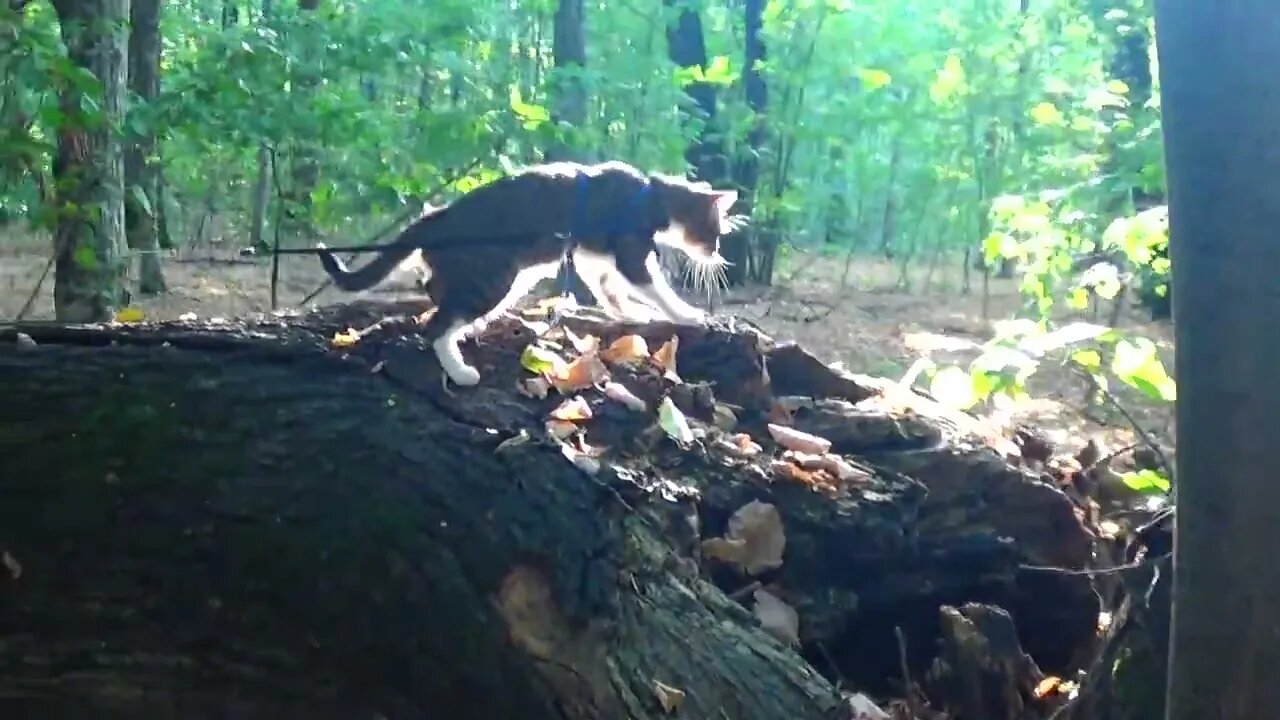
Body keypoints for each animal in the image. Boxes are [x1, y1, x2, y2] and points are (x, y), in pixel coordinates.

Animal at [313, 159, 747, 386]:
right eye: (716, 232)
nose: (717, 253)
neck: (650, 198)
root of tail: (439, 216)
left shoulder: (593, 256)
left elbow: (608, 289)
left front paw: (628, 311)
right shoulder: (629, 253)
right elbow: (654, 287)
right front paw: (685, 313)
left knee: (438, 294)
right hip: (495, 274)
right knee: (435, 324)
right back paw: (461, 370)